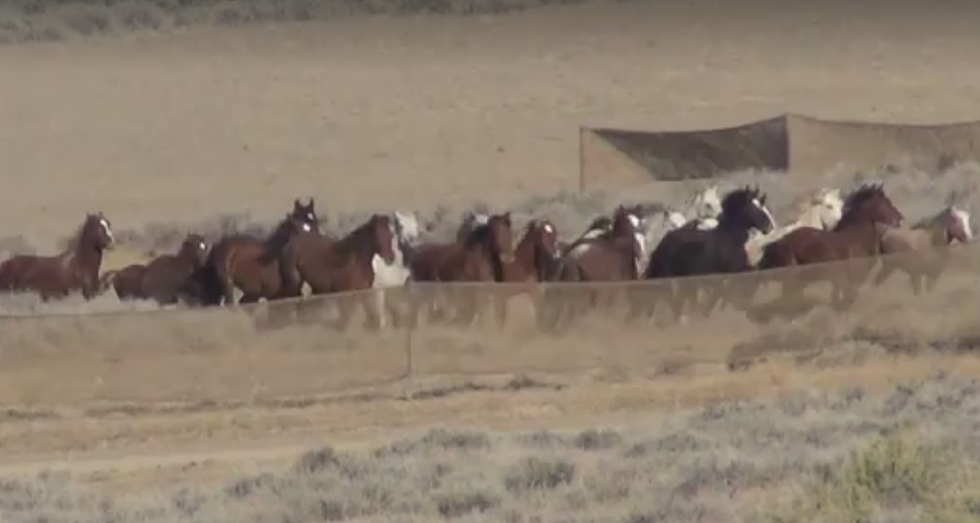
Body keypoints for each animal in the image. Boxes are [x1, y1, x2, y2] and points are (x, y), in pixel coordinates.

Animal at [632, 186, 776, 322]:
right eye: (753, 207)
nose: (769, 226)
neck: (728, 239)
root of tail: (662, 244)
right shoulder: (731, 273)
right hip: (671, 277)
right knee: (671, 299)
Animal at [756, 182, 908, 318]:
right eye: (885, 203)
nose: (900, 219)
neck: (855, 238)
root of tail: (781, 241)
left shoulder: (855, 279)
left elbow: (844, 298)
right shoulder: (841, 277)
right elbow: (844, 298)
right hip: (792, 276)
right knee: (789, 298)